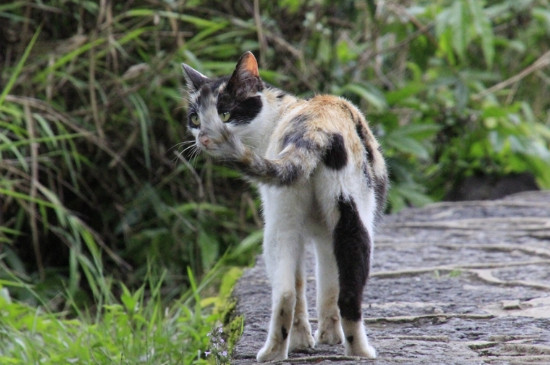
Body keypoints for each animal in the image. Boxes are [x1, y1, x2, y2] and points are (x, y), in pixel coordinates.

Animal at [183, 51, 390, 362]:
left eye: (225, 115)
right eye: (195, 118)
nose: (204, 137)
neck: (279, 114)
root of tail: (315, 127)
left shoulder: (320, 234)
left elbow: (316, 284)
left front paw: (312, 340)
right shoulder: (323, 237)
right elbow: (325, 285)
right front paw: (322, 338)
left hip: (287, 224)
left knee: (289, 292)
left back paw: (280, 352)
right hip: (346, 220)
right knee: (333, 292)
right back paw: (355, 351)